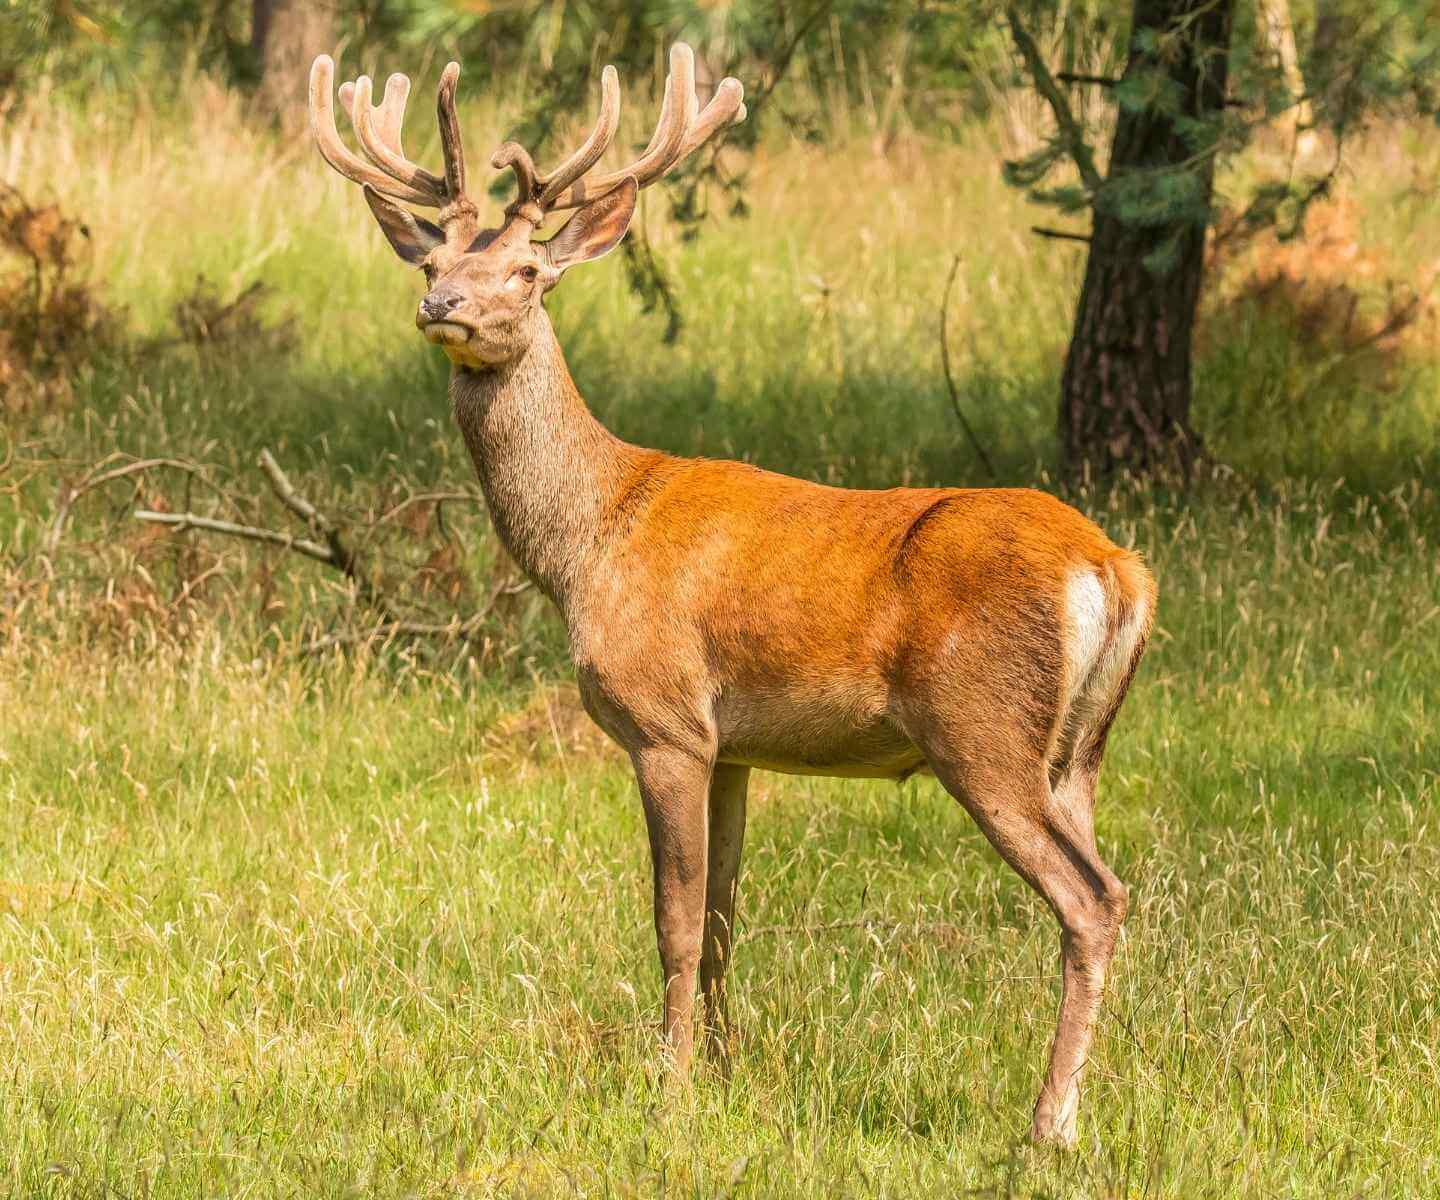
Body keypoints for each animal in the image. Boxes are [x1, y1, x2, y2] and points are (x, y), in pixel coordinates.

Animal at [307, 44, 1157, 1148]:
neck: (589, 540)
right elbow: (721, 922)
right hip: (1077, 751)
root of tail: (1115, 569)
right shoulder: (738, 746)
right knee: (1107, 886)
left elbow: (672, 920)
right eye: (428, 261)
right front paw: (724, 1069)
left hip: (984, 728)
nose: (443, 306)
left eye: (529, 271)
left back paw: (1047, 1124)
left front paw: (667, 1087)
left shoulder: (666, 719)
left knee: (1091, 898)